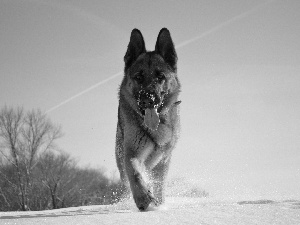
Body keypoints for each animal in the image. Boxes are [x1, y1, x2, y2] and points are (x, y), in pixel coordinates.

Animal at [115, 28, 180, 211]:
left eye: (160, 77)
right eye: (138, 77)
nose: (147, 100)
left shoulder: (163, 160)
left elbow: (159, 185)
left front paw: (157, 203)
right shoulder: (132, 153)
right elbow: (135, 173)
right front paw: (143, 198)